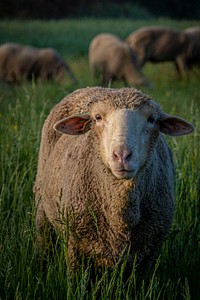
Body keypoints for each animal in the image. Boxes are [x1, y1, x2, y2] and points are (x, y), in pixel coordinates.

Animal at [34, 86, 194, 270]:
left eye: (152, 119)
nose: (122, 155)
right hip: (41, 204)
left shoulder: (149, 254)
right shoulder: (74, 244)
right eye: (97, 117)